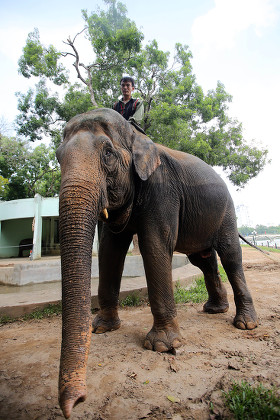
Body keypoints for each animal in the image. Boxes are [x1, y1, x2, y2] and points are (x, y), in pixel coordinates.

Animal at [55, 107, 258, 416]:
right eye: (57, 156)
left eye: (108, 154)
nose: (74, 404)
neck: (137, 136)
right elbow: (110, 250)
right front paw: (102, 328)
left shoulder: (162, 191)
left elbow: (154, 245)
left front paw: (162, 347)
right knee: (203, 260)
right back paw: (214, 309)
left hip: (226, 210)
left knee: (231, 255)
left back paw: (245, 324)